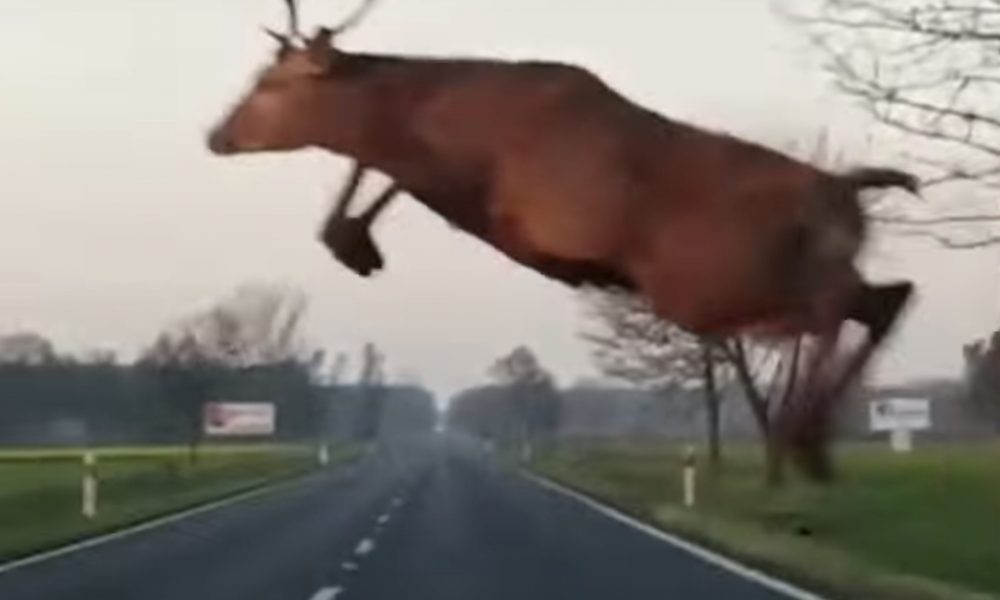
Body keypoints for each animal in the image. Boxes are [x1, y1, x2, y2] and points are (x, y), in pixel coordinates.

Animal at [207, 0, 916, 478]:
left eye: (273, 84)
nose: (217, 135)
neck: (448, 117)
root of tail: (847, 191)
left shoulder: (529, 206)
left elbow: (388, 169)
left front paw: (351, 239)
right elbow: (378, 167)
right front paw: (349, 239)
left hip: (711, 283)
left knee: (839, 307)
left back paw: (801, 437)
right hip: (757, 279)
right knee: (884, 297)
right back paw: (807, 443)